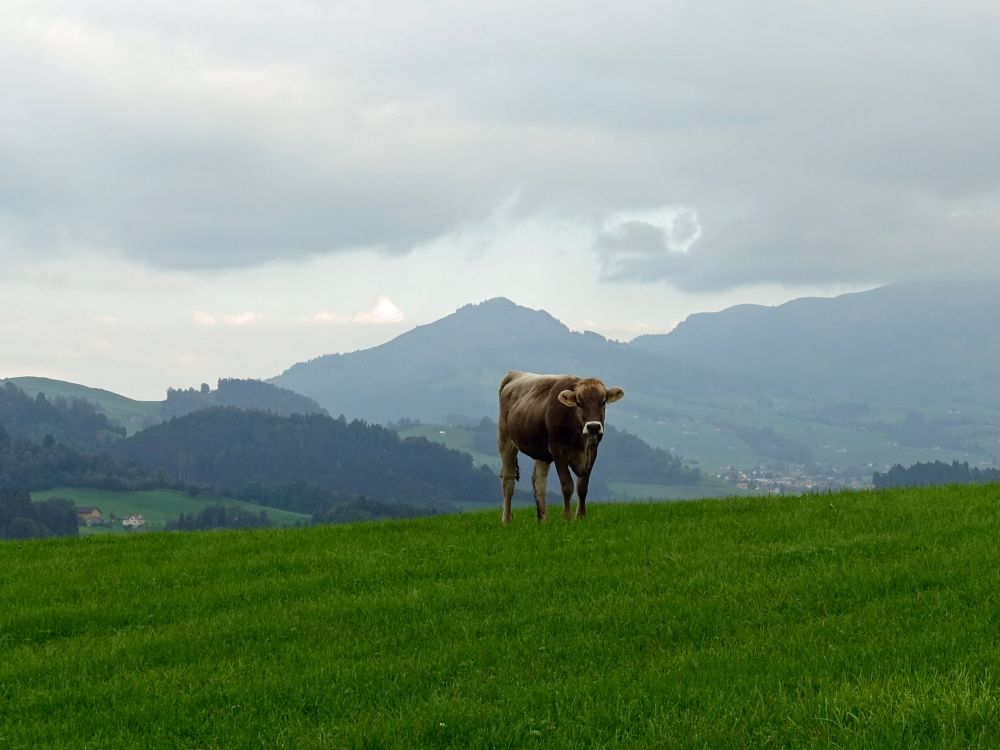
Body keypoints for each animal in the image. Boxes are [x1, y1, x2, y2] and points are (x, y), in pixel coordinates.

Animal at [498, 368, 624, 524]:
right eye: (579, 403)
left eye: (603, 401)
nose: (593, 427)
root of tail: (515, 374)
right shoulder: (558, 451)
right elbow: (567, 485)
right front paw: (567, 517)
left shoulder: (592, 451)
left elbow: (582, 487)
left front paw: (581, 516)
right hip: (505, 440)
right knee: (508, 480)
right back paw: (506, 520)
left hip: (541, 452)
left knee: (539, 483)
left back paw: (544, 520)